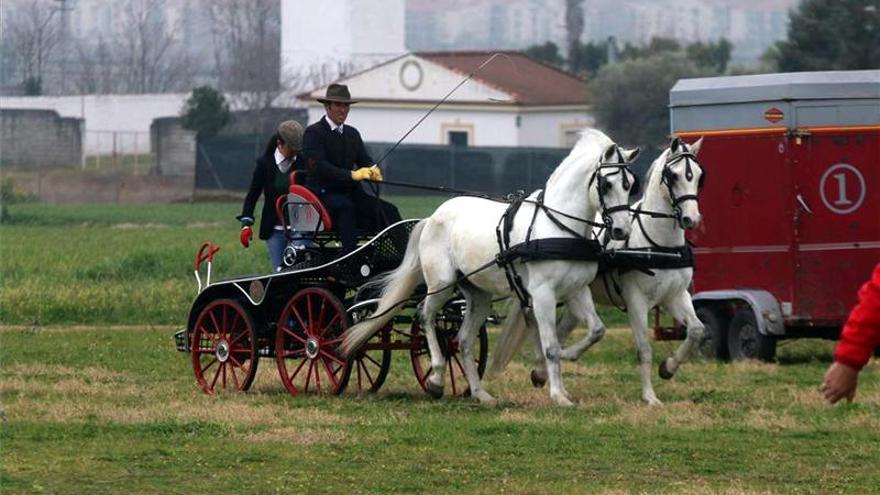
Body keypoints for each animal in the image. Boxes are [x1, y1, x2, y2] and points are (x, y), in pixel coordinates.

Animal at [340, 128, 636, 406]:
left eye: (630, 184)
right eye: (607, 184)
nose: (622, 230)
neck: (559, 227)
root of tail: (432, 217)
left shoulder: (576, 291)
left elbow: (596, 330)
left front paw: (564, 362)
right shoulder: (542, 294)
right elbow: (550, 345)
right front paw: (558, 395)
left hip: (477, 294)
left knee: (463, 340)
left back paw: (479, 393)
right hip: (441, 284)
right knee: (425, 316)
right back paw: (436, 378)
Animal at [492, 137, 704, 406]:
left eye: (699, 176)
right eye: (673, 175)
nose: (691, 219)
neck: (658, 243)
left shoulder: (675, 296)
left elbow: (696, 330)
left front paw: (668, 367)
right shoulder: (636, 300)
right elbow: (644, 349)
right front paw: (649, 397)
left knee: (561, 330)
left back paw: (544, 371)